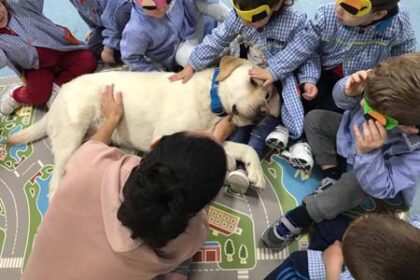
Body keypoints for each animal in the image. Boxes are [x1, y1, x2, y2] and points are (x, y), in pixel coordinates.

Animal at [6, 57, 278, 198]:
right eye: (253, 81)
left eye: (268, 96)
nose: (264, 113)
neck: (212, 102)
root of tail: (58, 98)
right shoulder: (166, 135)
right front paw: (233, 163)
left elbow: (241, 147)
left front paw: (254, 171)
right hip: (71, 136)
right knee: (56, 183)